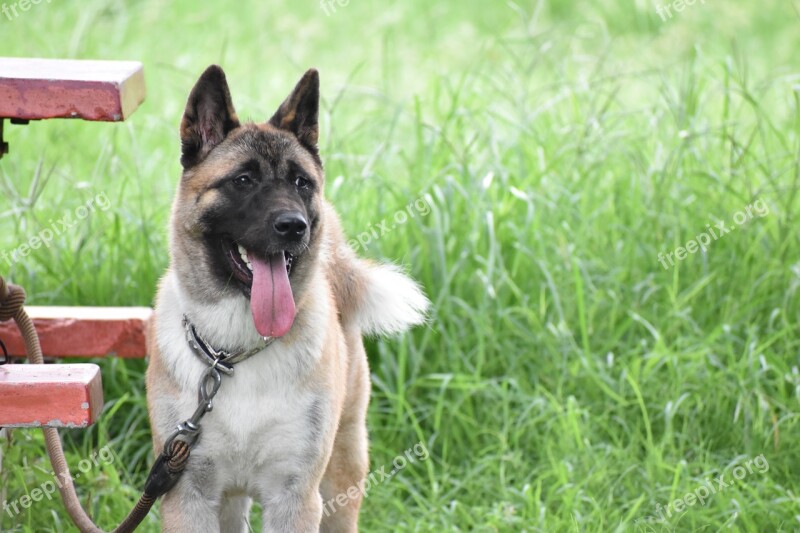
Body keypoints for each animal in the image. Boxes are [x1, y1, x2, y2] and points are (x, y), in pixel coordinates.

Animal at [146, 67, 428, 532]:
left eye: (301, 183)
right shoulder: (189, 496)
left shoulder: (294, 497)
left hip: (342, 475)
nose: (294, 226)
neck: (234, 354)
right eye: (243, 180)